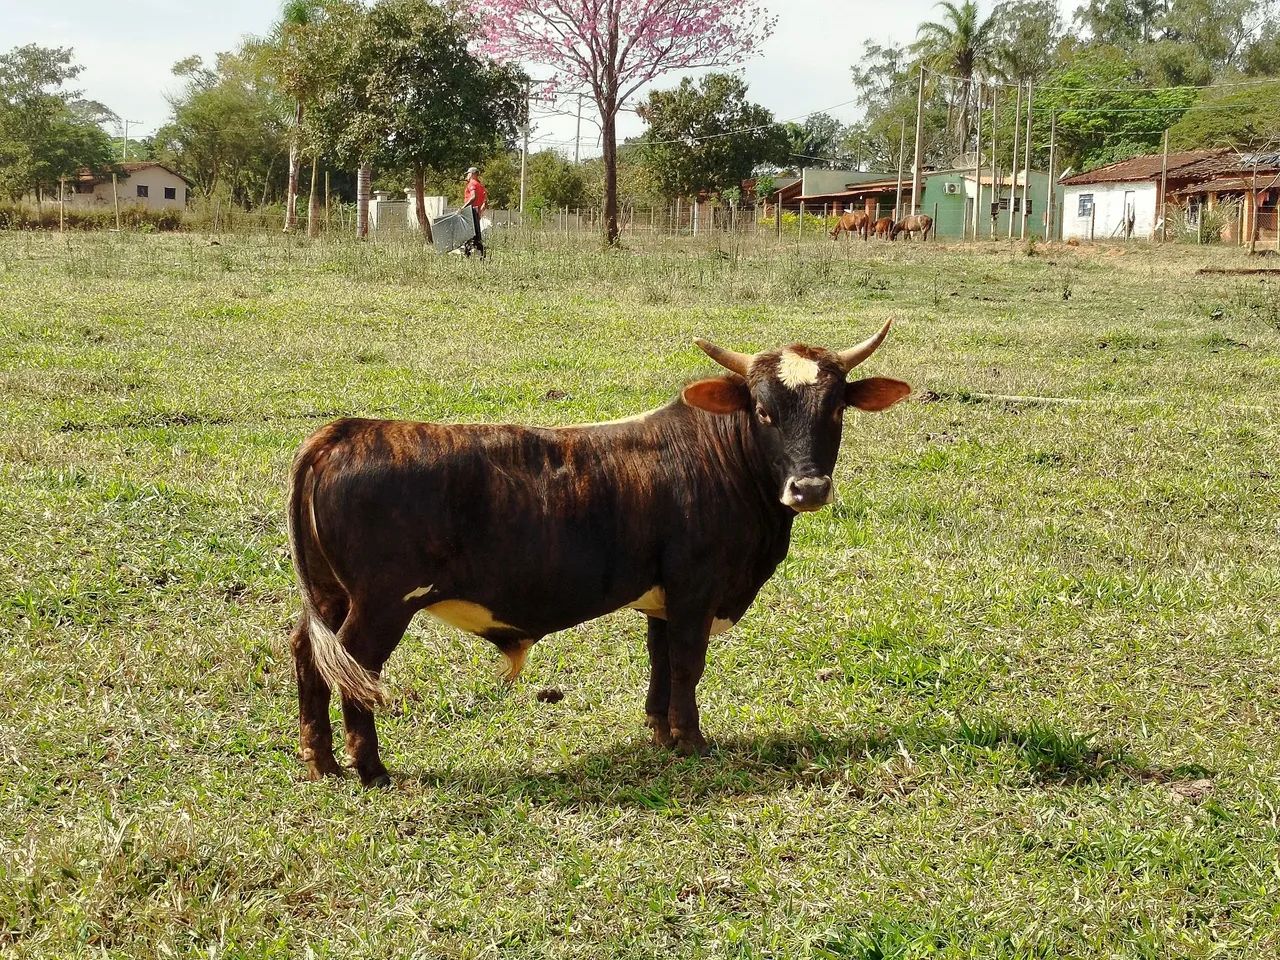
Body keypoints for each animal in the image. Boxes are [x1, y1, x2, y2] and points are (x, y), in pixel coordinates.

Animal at [287, 326, 911, 786]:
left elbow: (662, 661)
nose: (808, 488)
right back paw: (371, 769)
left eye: (836, 409)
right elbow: (688, 663)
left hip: (331, 595)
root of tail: (343, 433)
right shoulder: (695, 590)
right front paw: (692, 740)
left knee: (308, 654)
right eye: (762, 411)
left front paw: (661, 732)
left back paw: (322, 763)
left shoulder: (663, 598)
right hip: (382, 604)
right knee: (354, 667)